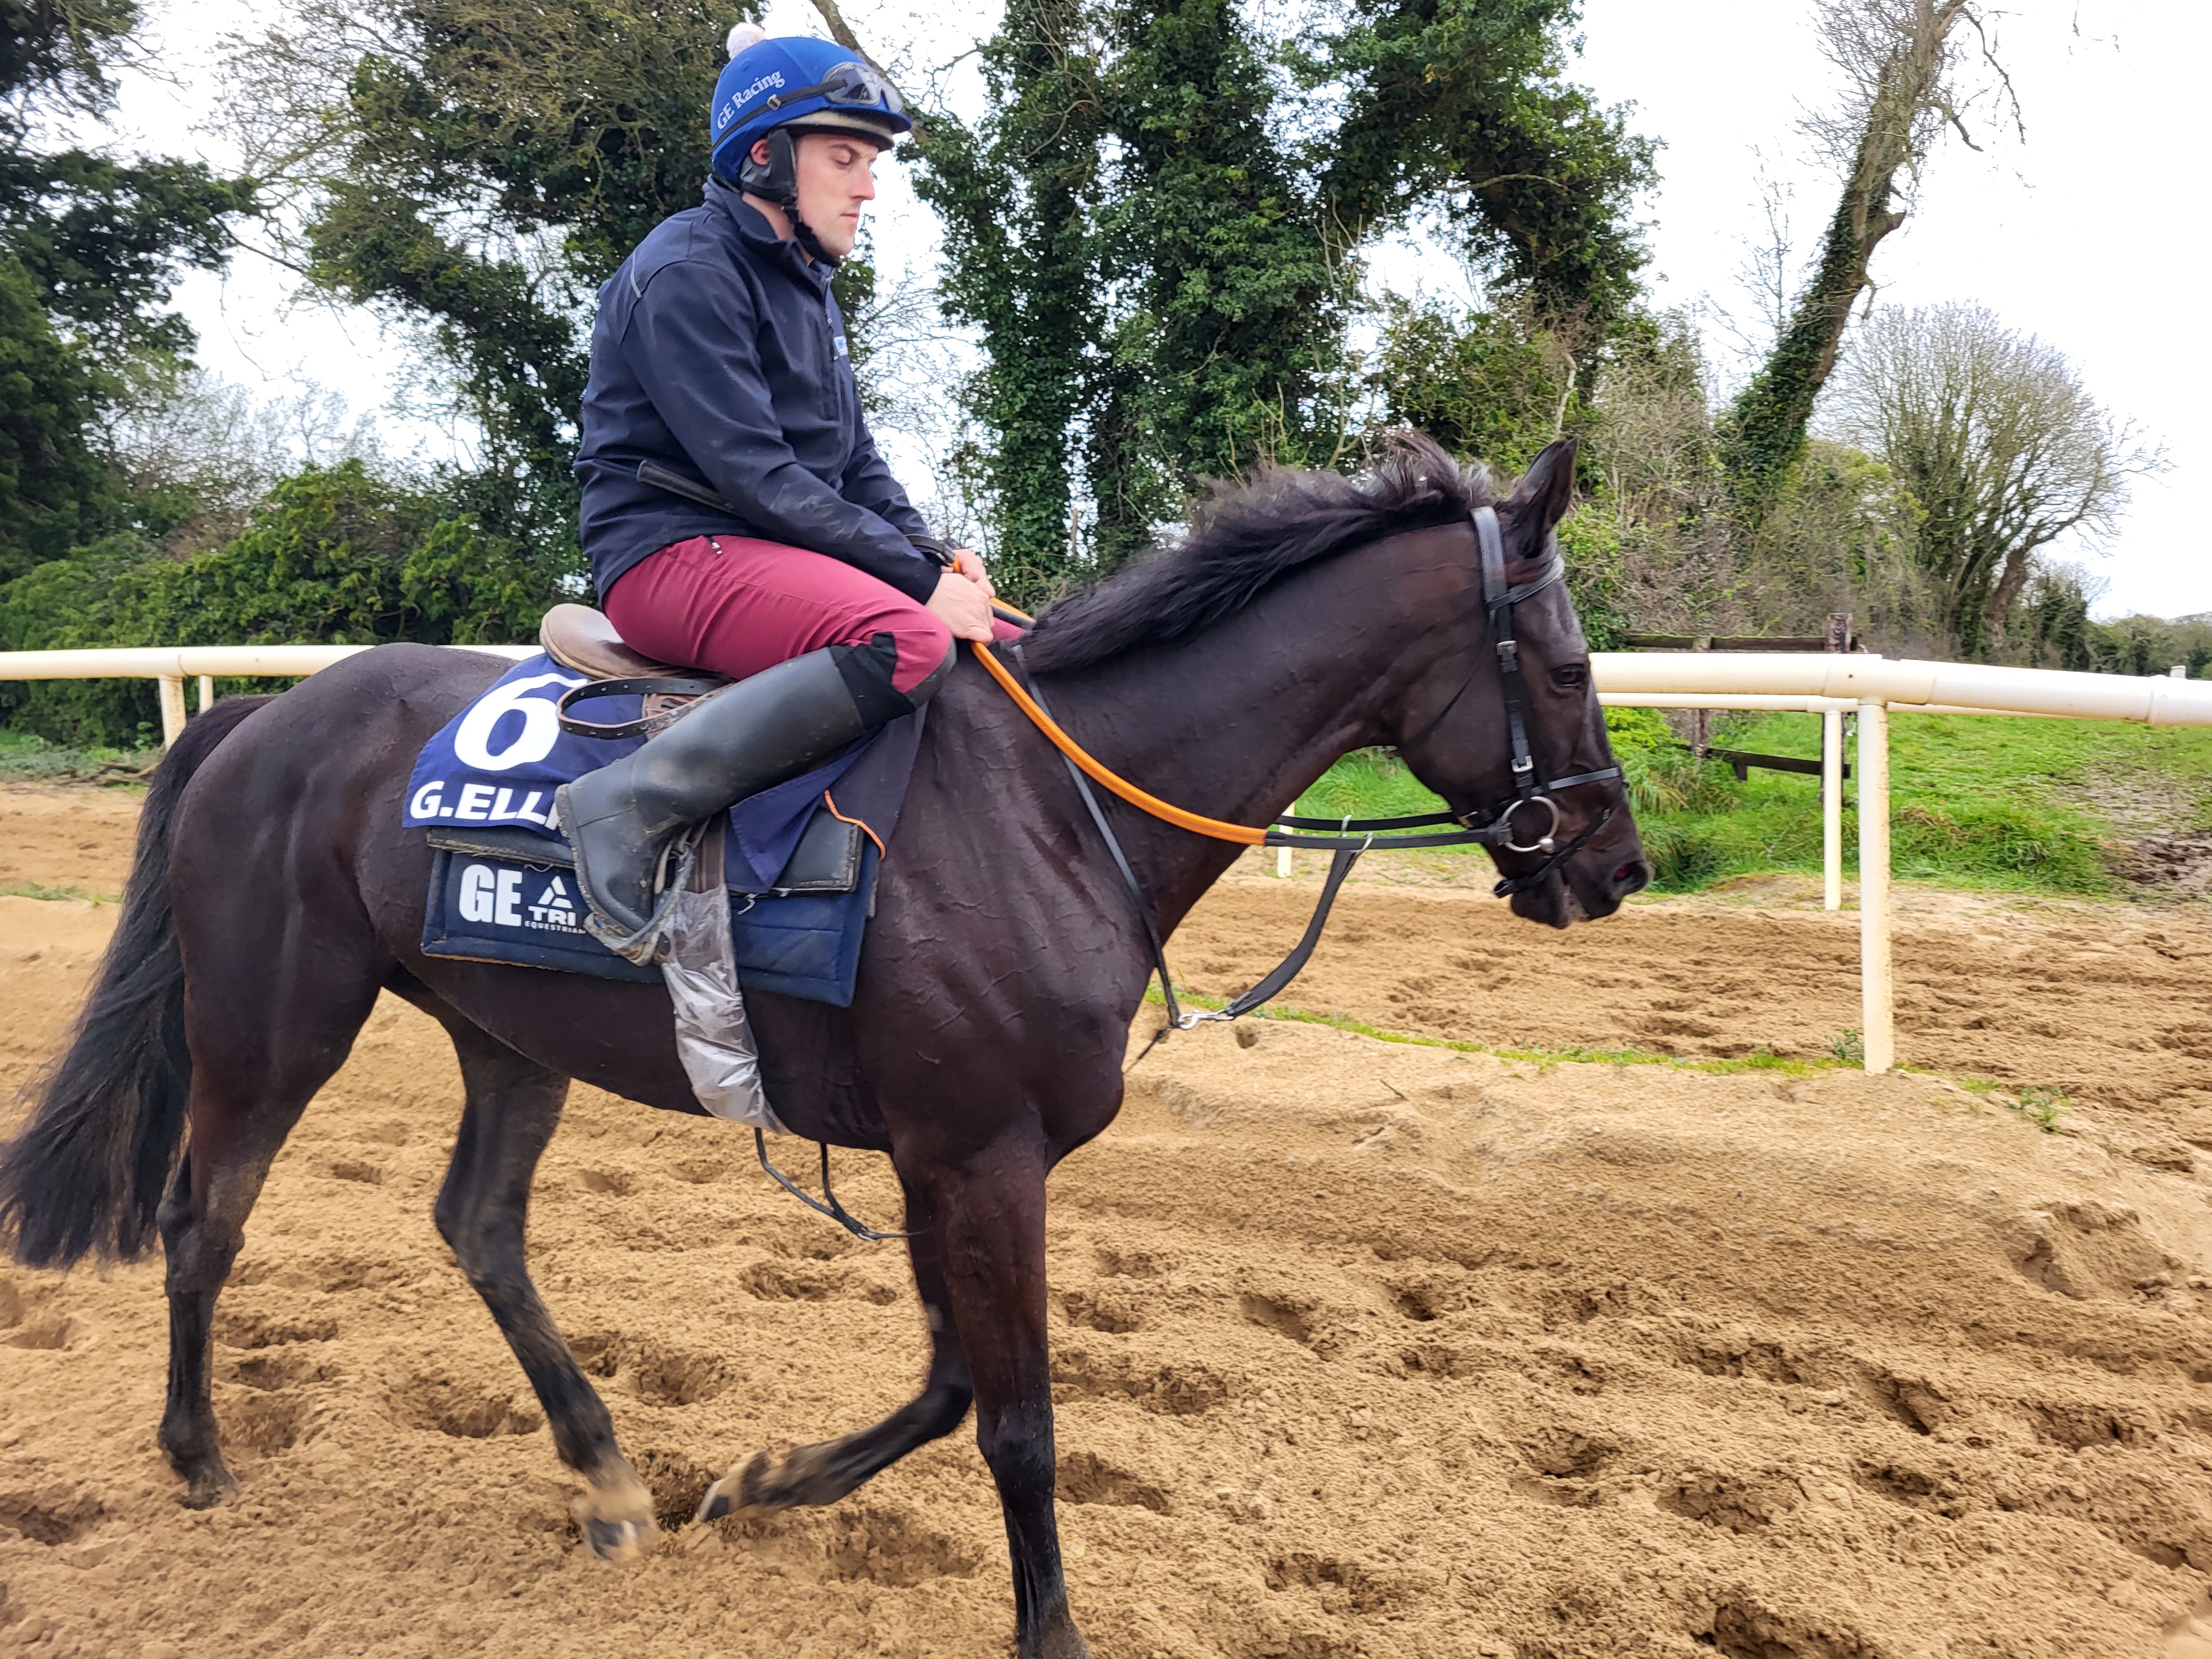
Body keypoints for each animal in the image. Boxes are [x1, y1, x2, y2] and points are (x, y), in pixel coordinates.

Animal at [0, 431, 1646, 1659]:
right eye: (1570, 669)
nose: (1616, 867)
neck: (1056, 809)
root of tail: (260, 719)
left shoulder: (936, 1151)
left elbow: (947, 1386)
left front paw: (768, 1481)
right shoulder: (981, 1156)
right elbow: (1019, 1422)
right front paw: (1046, 1630)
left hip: (502, 1031)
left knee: (476, 1224)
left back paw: (607, 1472)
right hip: (274, 1024)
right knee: (202, 1220)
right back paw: (198, 1455)